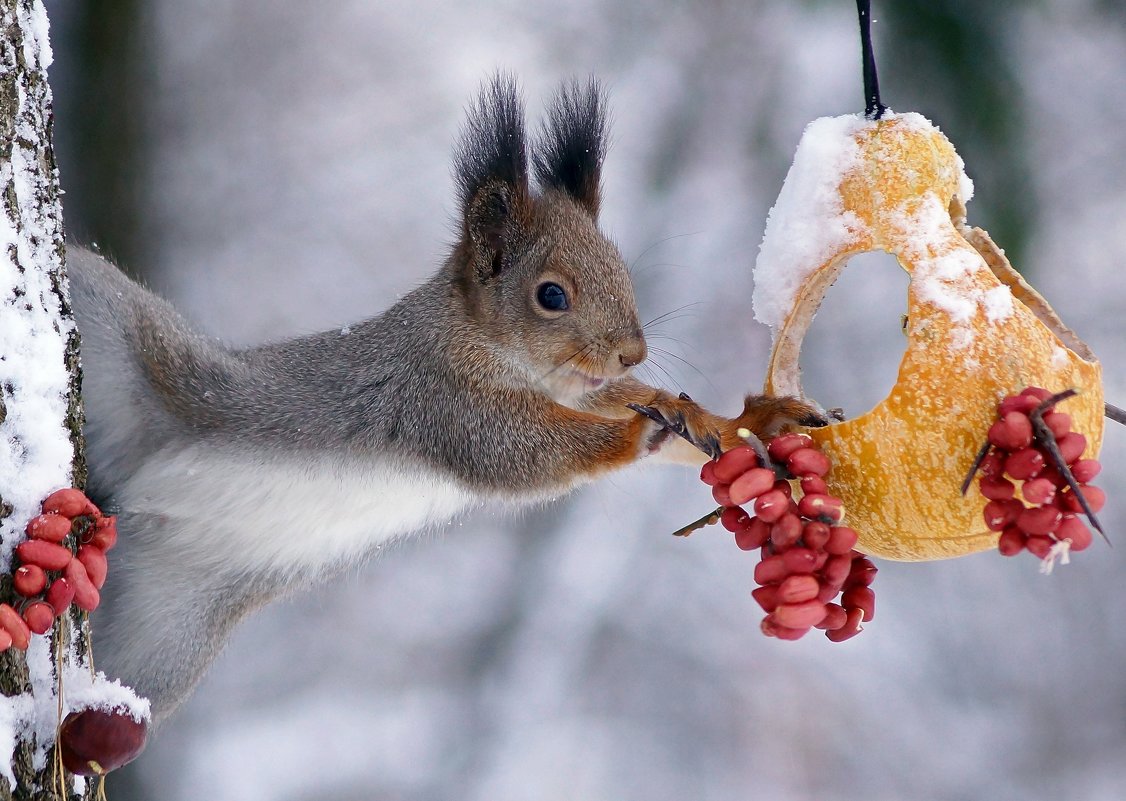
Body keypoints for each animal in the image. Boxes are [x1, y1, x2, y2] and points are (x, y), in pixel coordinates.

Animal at [65, 76, 824, 725]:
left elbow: (651, 409)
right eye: (551, 295)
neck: (490, 350)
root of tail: (134, 496)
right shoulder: (440, 400)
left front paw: (736, 419)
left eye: (622, 270)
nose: (631, 351)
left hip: (166, 641)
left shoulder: (583, 390)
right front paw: (635, 437)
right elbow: (523, 452)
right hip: (115, 328)